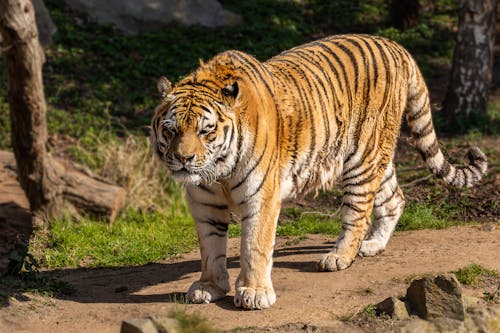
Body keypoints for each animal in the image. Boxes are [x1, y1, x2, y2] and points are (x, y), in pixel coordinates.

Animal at [150, 33, 486, 308]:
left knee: (358, 212)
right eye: (171, 130)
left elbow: (254, 245)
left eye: (206, 131)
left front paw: (255, 293)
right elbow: (210, 248)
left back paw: (340, 256)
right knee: (395, 198)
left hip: (361, 157)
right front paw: (209, 287)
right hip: (377, 156)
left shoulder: (261, 197)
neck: (218, 172)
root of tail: (395, 45)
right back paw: (373, 245)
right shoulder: (204, 203)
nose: (183, 159)